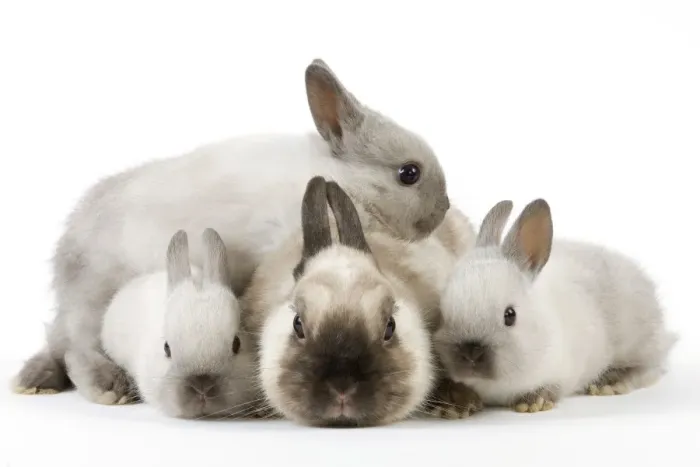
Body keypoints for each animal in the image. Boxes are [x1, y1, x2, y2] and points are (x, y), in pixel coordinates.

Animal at [434, 198, 678, 414]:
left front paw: (533, 402)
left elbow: (551, 388)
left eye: (510, 315)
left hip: (638, 343)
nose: (470, 353)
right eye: (442, 313)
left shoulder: (565, 372)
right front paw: (456, 405)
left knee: (652, 368)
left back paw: (611, 383)